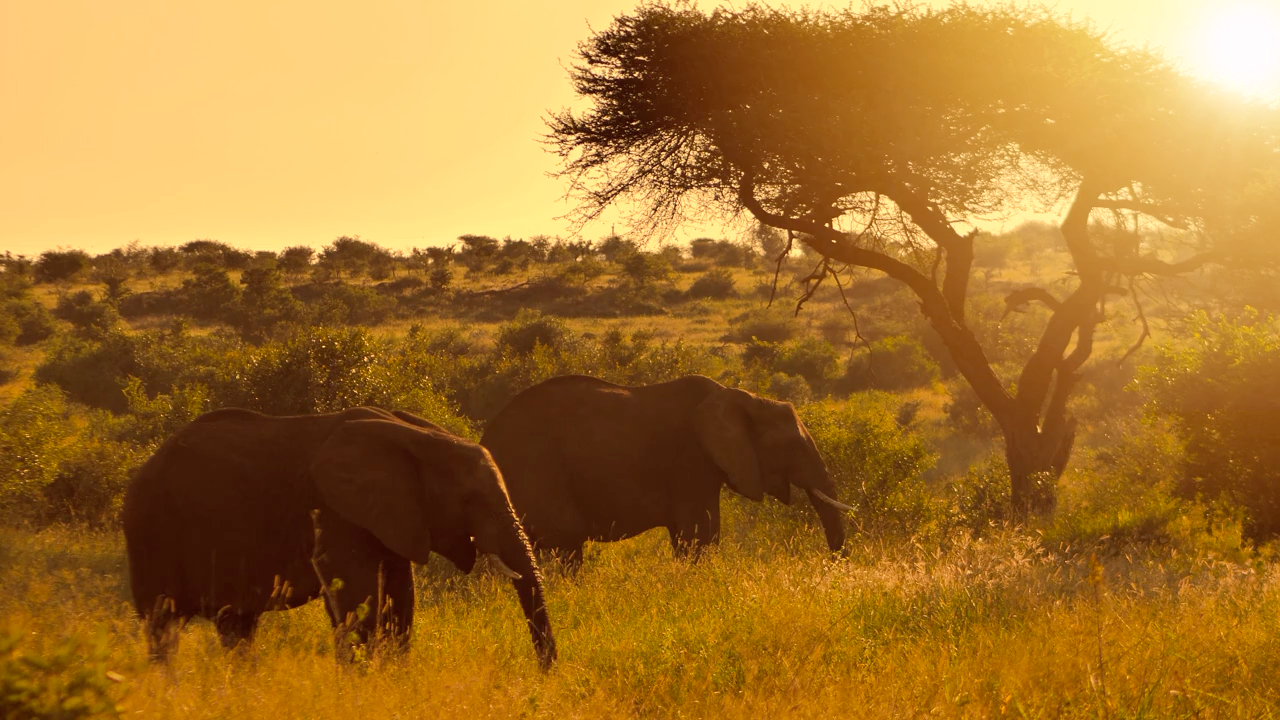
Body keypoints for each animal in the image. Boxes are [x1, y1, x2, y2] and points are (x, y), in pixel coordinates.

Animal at [122, 406, 556, 668]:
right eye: (470, 500)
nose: (545, 674)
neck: (414, 436)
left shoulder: (392, 517)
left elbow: (399, 600)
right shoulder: (333, 511)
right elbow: (357, 598)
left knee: (236, 626)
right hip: (150, 532)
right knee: (163, 626)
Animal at [480, 374, 853, 567]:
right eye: (792, 446)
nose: (834, 567)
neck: (743, 397)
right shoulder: (691, 460)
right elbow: (699, 534)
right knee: (566, 544)